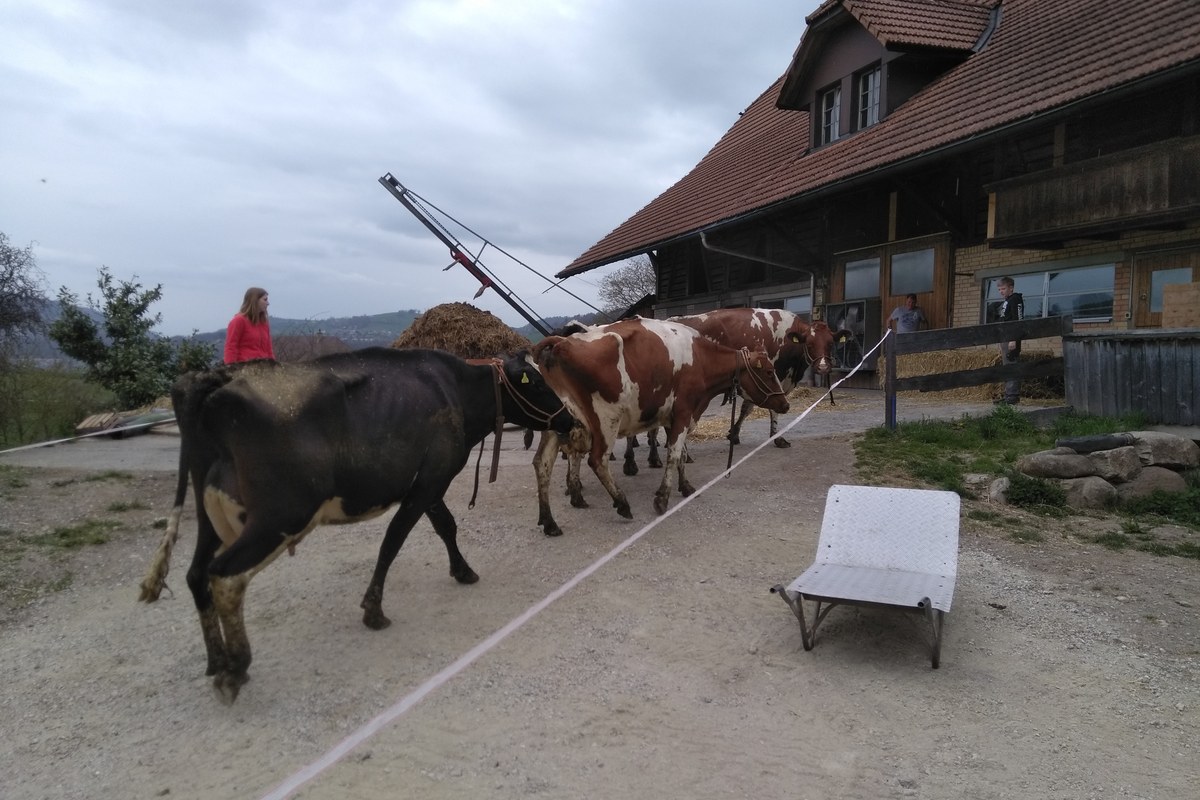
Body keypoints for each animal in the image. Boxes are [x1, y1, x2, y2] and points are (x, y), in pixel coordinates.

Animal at [139, 347, 571, 700]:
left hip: (211, 514)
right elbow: (394, 540)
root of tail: (214, 380)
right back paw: (235, 667)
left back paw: (216, 661)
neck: (457, 390)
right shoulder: (430, 480)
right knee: (225, 575)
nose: (569, 418)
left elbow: (445, 526)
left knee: (196, 573)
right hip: (280, 515)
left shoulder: (428, 481)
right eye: (538, 385)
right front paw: (373, 609)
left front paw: (462, 570)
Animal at [532, 316, 787, 534]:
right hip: (606, 420)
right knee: (597, 460)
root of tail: (561, 342)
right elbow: (673, 455)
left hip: (557, 423)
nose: (785, 404)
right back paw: (622, 503)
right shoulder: (684, 412)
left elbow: (681, 454)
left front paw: (686, 487)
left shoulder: (673, 417)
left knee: (542, 463)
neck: (700, 358)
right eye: (769, 371)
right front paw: (662, 498)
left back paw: (550, 520)